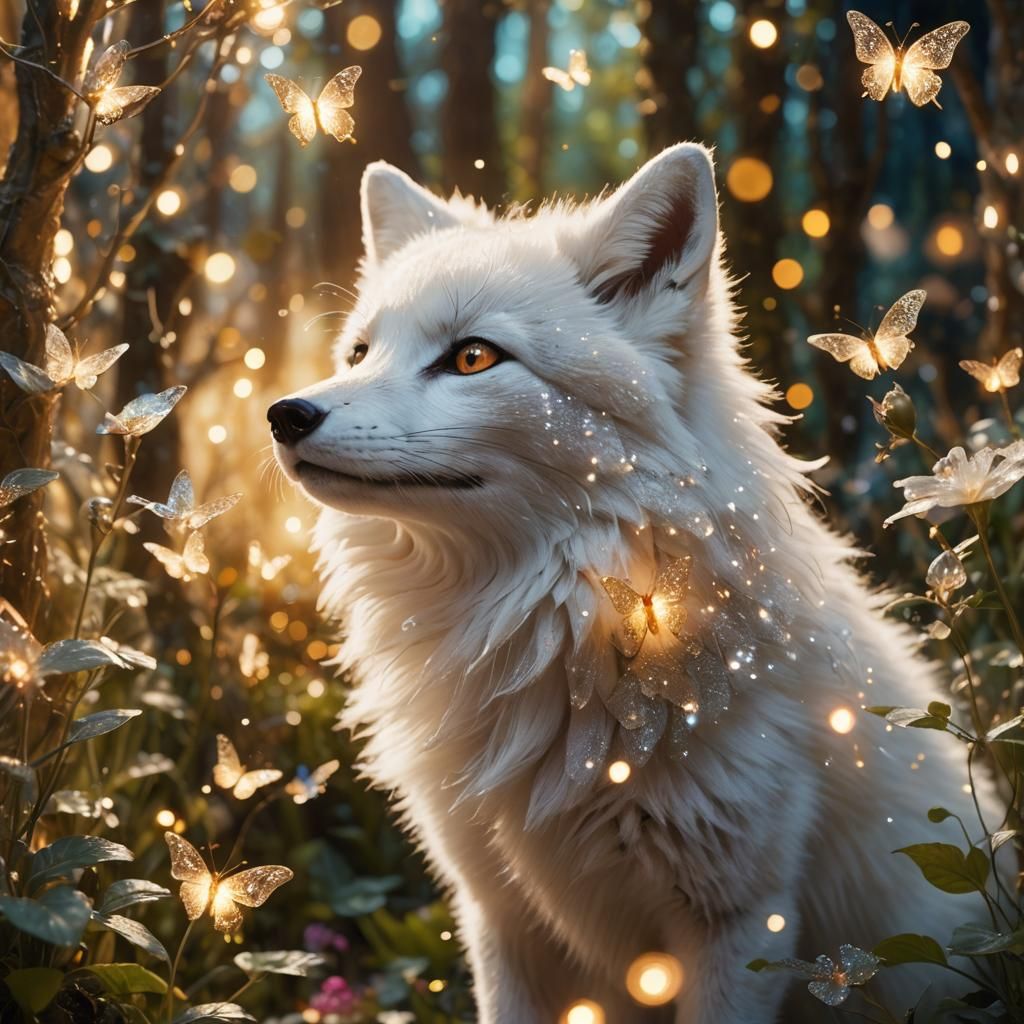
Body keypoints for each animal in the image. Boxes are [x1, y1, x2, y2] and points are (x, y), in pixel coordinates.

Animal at [269, 143, 996, 1023]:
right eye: (359, 354)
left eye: (472, 356)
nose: (285, 415)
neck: (555, 635)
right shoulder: (501, 921)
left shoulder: (742, 924)